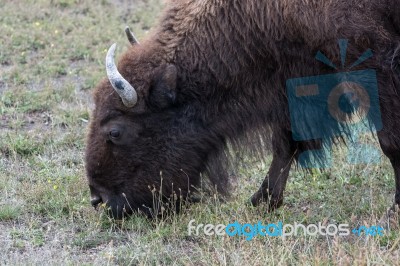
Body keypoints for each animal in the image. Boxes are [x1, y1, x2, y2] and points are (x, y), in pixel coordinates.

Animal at [85, 0, 400, 218]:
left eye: (115, 131)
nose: (99, 200)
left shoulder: (375, 66)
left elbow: (390, 142)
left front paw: (394, 211)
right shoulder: (294, 77)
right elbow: (285, 143)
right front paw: (262, 201)